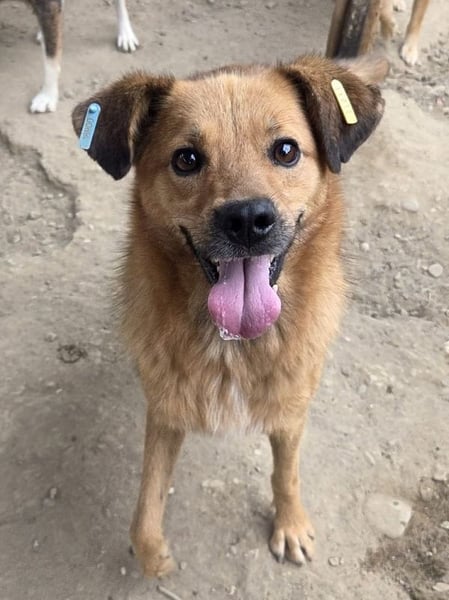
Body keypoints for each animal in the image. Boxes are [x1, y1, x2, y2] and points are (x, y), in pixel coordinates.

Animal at [72, 53, 387, 576]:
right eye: (186, 159)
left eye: (286, 150)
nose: (246, 220)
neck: (233, 341)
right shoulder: (165, 409)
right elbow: (145, 506)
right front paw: (154, 555)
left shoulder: (290, 410)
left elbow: (286, 474)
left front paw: (290, 523)